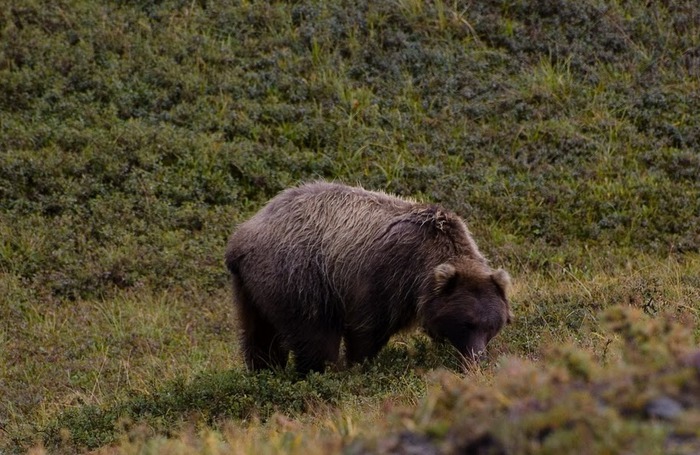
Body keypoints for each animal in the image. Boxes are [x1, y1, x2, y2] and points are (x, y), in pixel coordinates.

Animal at [226, 181, 516, 374]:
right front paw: (360, 366)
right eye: (467, 323)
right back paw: (320, 372)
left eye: (492, 326)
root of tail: (240, 237)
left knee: (259, 334)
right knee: (315, 336)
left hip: (252, 289)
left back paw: (264, 370)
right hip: (299, 277)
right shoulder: (383, 276)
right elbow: (366, 330)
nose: (477, 359)